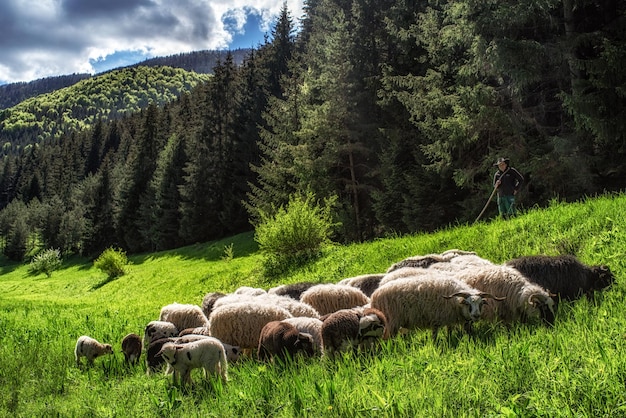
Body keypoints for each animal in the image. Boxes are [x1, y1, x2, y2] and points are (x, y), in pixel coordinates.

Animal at [370, 274, 498, 340]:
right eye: (468, 304)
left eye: (481, 304)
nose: (476, 316)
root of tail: (374, 296)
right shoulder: (436, 318)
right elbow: (435, 335)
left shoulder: (448, 317)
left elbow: (449, 330)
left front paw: (449, 339)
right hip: (391, 322)